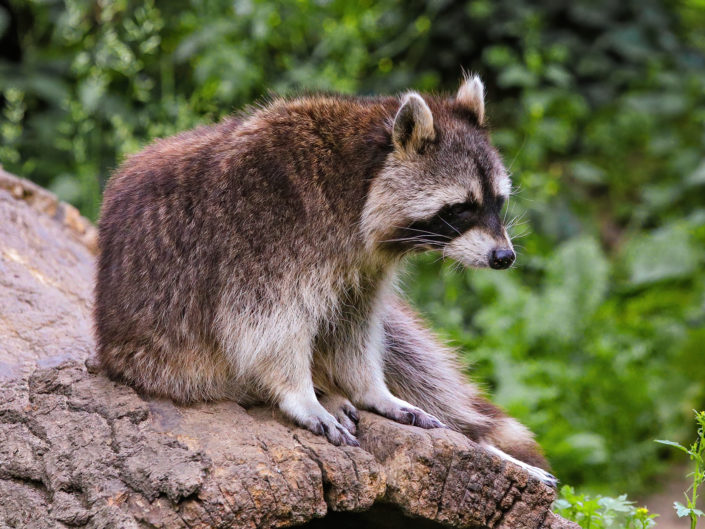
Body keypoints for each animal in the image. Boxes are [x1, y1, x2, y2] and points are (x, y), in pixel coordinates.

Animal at [95, 75, 555, 486]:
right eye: (461, 208)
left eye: (498, 202)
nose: (504, 257)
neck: (359, 181)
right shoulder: (266, 228)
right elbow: (262, 328)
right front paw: (301, 395)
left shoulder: (363, 266)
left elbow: (353, 323)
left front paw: (372, 388)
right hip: (176, 366)